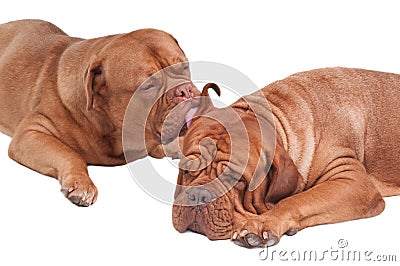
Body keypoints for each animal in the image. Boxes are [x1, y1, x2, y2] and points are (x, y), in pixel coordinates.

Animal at [0, 19, 200, 206]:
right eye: (148, 86)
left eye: (184, 66)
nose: (184, 90)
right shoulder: (30, 133)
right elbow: (68, 153)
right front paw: (82, 185)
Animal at [172, 67, 400, 248]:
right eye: (187, 169)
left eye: (236, 180)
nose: (198, 195)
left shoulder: (352, 180)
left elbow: (293, 200)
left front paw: (261, 224)